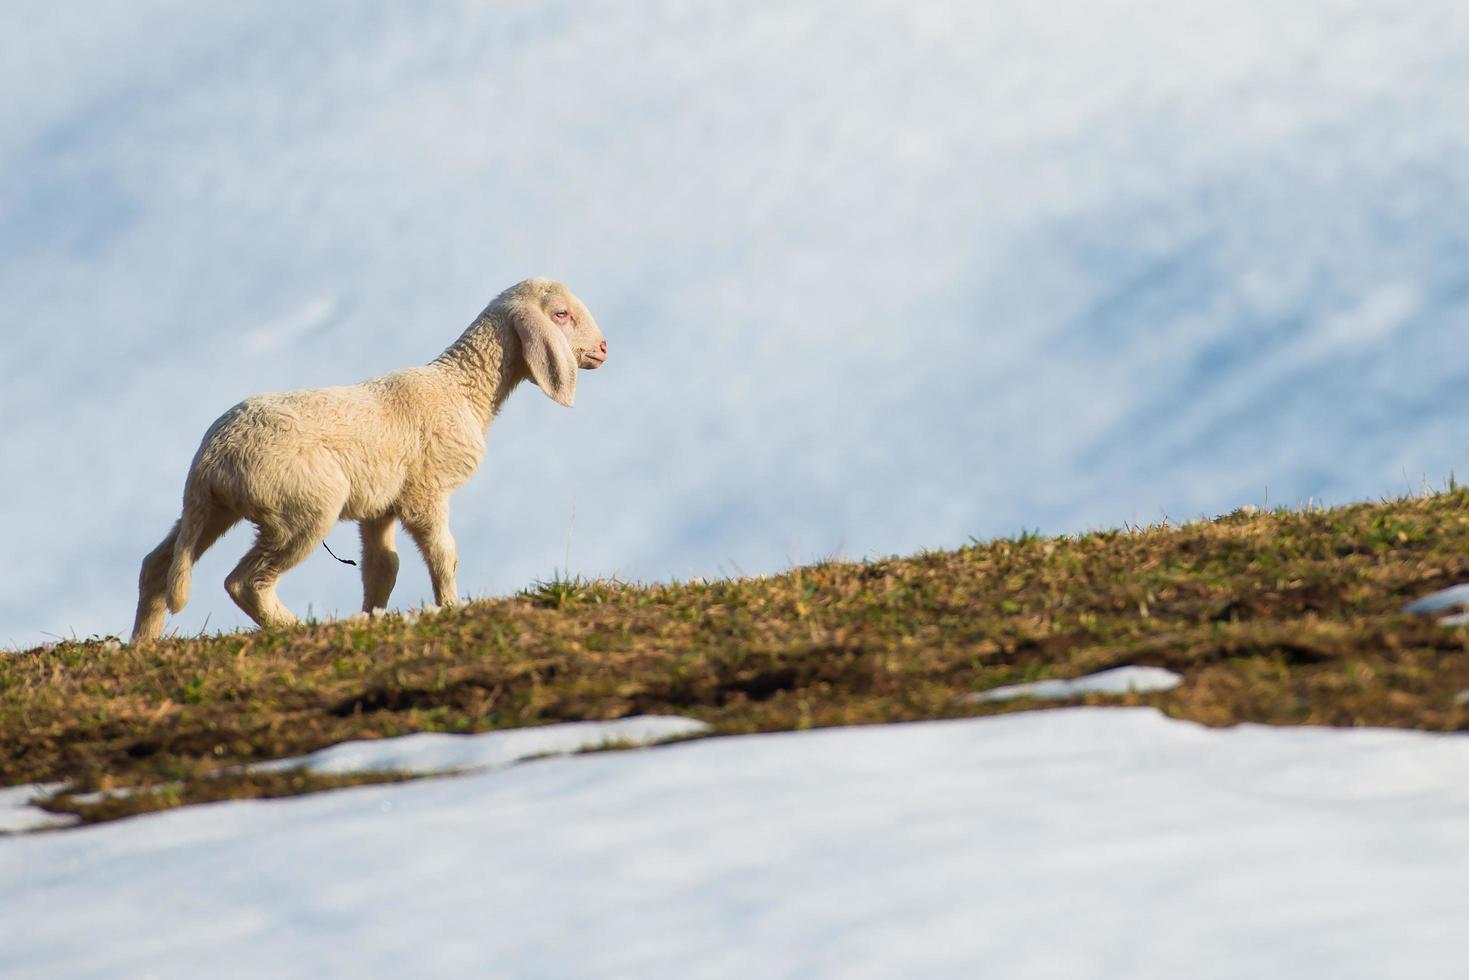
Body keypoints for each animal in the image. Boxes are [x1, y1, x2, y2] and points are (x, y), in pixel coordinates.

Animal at [129, 276, 605, 643]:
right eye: (561, 314)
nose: (602, 348)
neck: (461, 389)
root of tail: (210, 457)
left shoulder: (380, 506)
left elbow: (383, 567)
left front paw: (372, 616)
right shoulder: (425, 493)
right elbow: (444, 555)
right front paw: (449, 607)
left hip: (216, 510)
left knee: (157, 565)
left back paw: (143, 644)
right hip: (302, 505)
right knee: (244, 582)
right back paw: (294, 628)